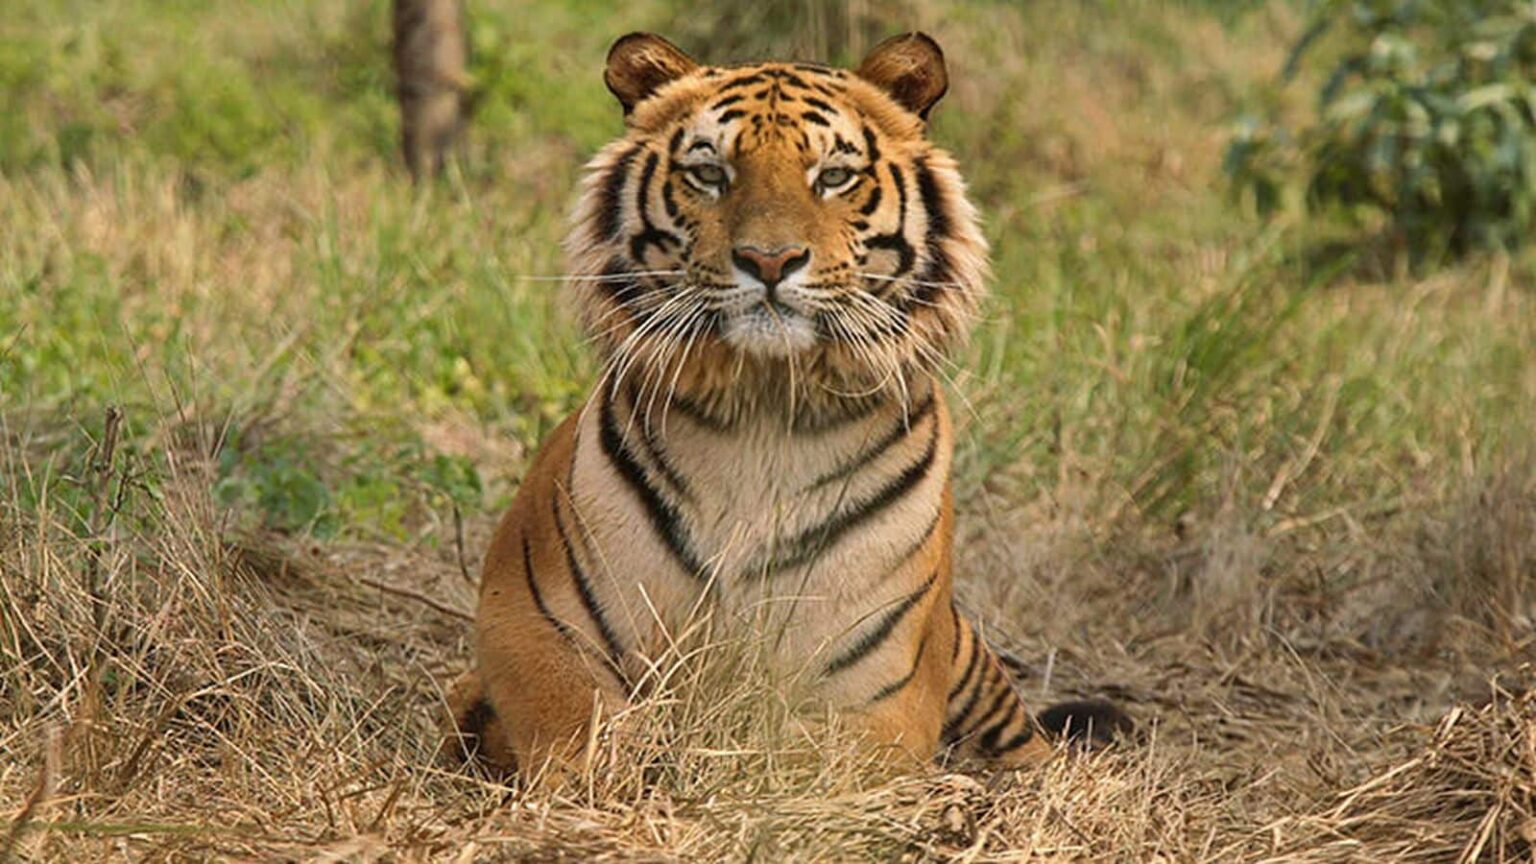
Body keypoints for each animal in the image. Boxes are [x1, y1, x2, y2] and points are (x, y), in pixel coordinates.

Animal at [447, 31, 1129, 778]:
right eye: (709, 173)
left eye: (832, 176)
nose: (768, 260)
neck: (763, 411)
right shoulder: (527, 621)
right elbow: (576, 731)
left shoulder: (876, 687)